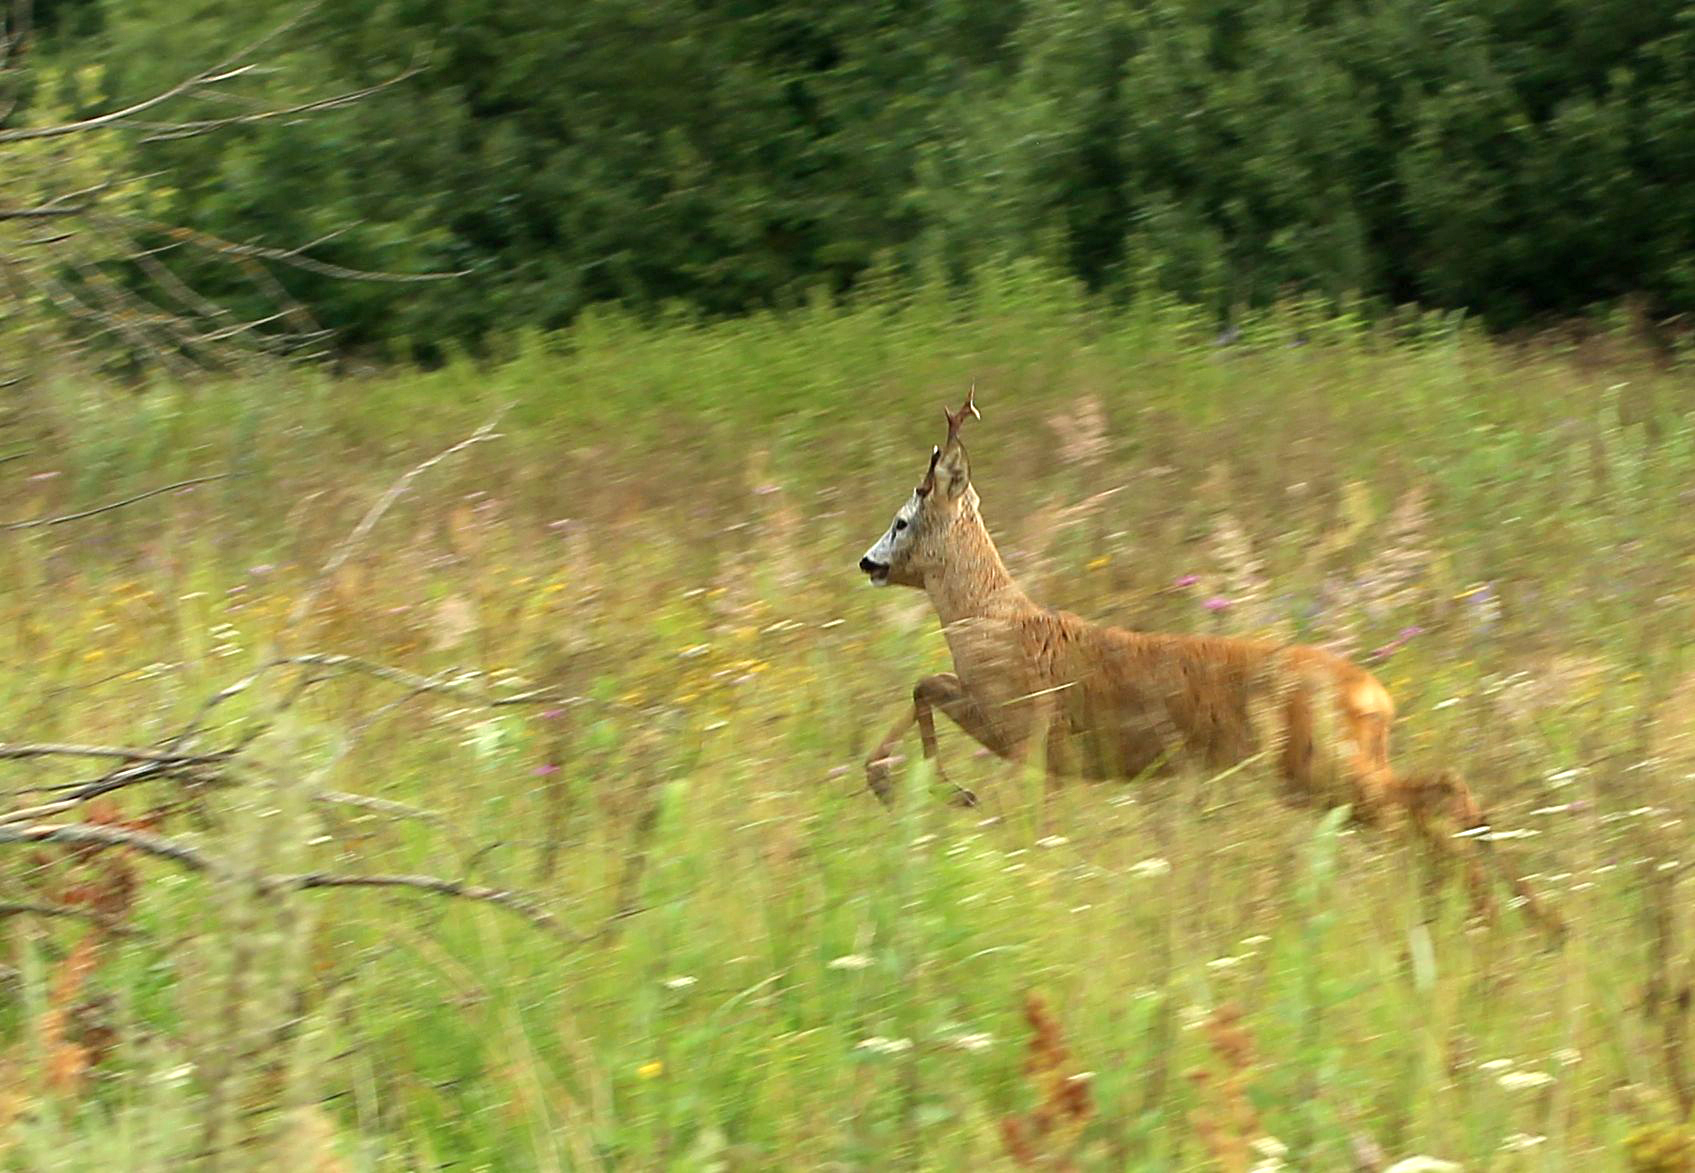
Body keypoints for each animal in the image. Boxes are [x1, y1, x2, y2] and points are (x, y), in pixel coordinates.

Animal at [861, 389, 1559, 942]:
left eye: (901, 520)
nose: (867, 563)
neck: (991, 621)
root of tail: (1378, 697)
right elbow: (922, 684)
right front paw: (912, 785)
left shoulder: (1020, 724)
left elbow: (925, 686)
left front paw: (940, 790)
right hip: (1327, 774)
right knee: (1441, 796)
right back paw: (1531, 922)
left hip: (1326, 766)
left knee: (1432, 804)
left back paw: (1497, 919)